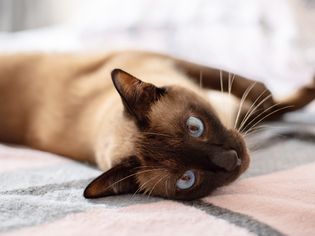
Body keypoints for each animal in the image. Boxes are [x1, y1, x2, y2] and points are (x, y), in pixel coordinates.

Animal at [0, 50, 314, 200]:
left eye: (194, 127)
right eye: (186, 179)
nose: (232, 159)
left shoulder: (177, 62)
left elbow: (255, 90)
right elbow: (269, 108)